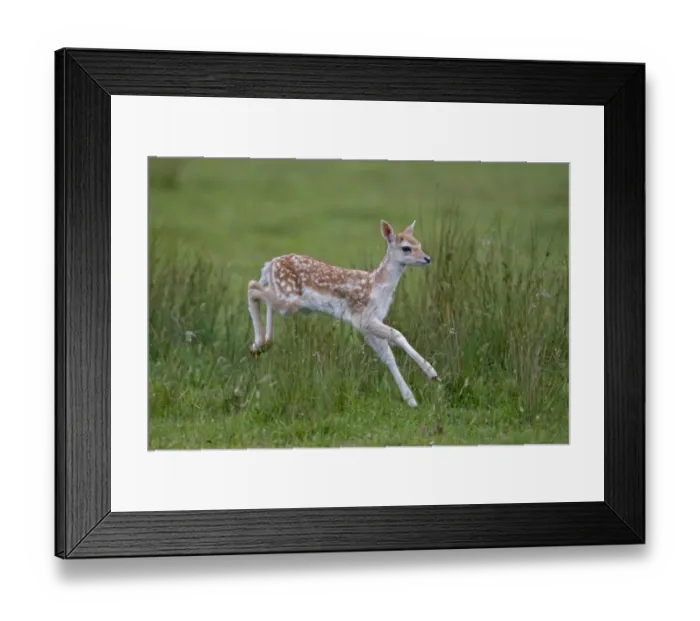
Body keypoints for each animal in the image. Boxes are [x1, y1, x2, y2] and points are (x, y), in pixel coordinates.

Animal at [247, 219, 440, 408]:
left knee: (265, 297)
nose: (427, 258)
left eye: (419, 244)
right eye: (406, 248)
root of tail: (270, 264)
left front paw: (411, 400)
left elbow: (387, 356)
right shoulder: (362, 318)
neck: (377, 287)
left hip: (286, 299)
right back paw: (258, 343)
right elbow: (398, 335)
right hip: (289, 299)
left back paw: (261, 345)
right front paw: (432, 373)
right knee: (253, 287)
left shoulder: (369, 325)